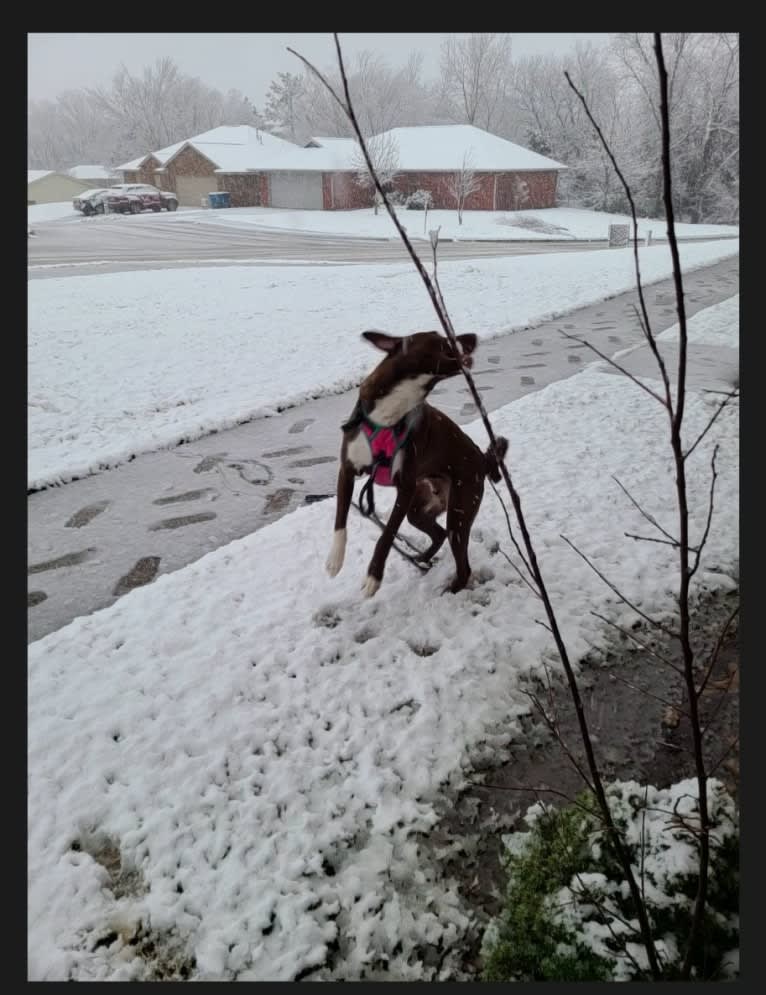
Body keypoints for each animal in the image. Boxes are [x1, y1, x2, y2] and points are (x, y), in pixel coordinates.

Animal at [326, 332, 510, 600]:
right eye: (441, 338)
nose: (473, 336)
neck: (393, 408)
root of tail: (482, 460)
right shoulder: (348, 470)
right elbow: (340, 520)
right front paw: (335, 559)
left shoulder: (405, 486)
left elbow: (387, 534)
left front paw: (373, 577)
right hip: (419, 509)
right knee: (439, 534)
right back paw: (423, 558)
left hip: (459, 511)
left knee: (462, 564)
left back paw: (450, 590)